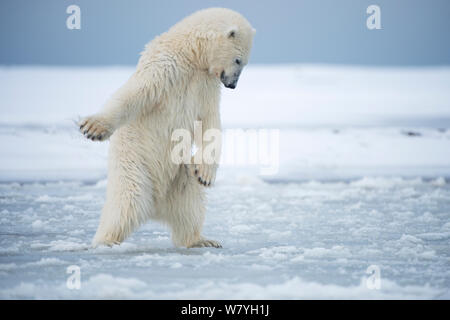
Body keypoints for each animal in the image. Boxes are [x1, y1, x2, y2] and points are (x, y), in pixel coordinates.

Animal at [77, 6, 253, 248]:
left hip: (180, 174)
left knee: (190, 205)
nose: (232, 85)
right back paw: (106, 240)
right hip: (134, 166)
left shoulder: (205, 84)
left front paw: (205, 174)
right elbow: (135, 93)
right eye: (238, 60)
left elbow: (209, 122)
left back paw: (202, 240)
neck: (191, 54)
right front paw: (93, 128)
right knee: (126, 203)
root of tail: (157, 207)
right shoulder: (166, 67)